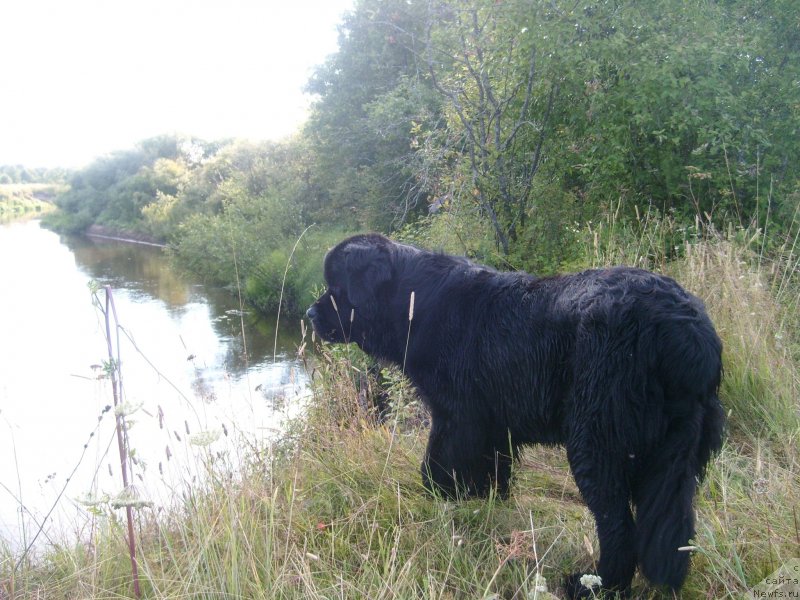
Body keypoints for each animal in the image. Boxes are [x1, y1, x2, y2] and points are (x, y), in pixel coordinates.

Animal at [306, 232, 724, 596]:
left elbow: (436, 466)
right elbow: (495, 472)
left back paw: (595, 585)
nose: (310, 312)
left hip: (596, 440)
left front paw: (440, 501)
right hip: (677, 451)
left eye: (336, 289)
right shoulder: (493, 425)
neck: (411, 303)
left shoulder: (457, 418)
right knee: (671, 524)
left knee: (617, 524)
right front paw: (488, 506)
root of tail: (688, 332)